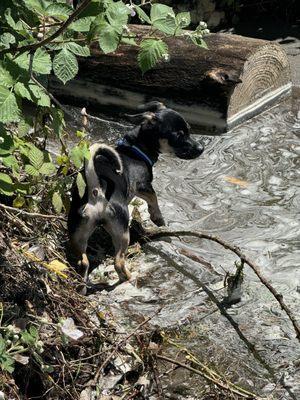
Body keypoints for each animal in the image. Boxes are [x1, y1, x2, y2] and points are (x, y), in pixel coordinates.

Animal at [68, 102, 204, 284]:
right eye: (178, 135)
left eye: (189, 130)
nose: (201, 148)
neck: (135, 149)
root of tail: (96, 190)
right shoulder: (143, 186)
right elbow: (154, 198)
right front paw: (158, 218)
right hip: (122, 232)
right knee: (118, 261)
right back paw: (127, 277)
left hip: (77, 233)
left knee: (83, 262)